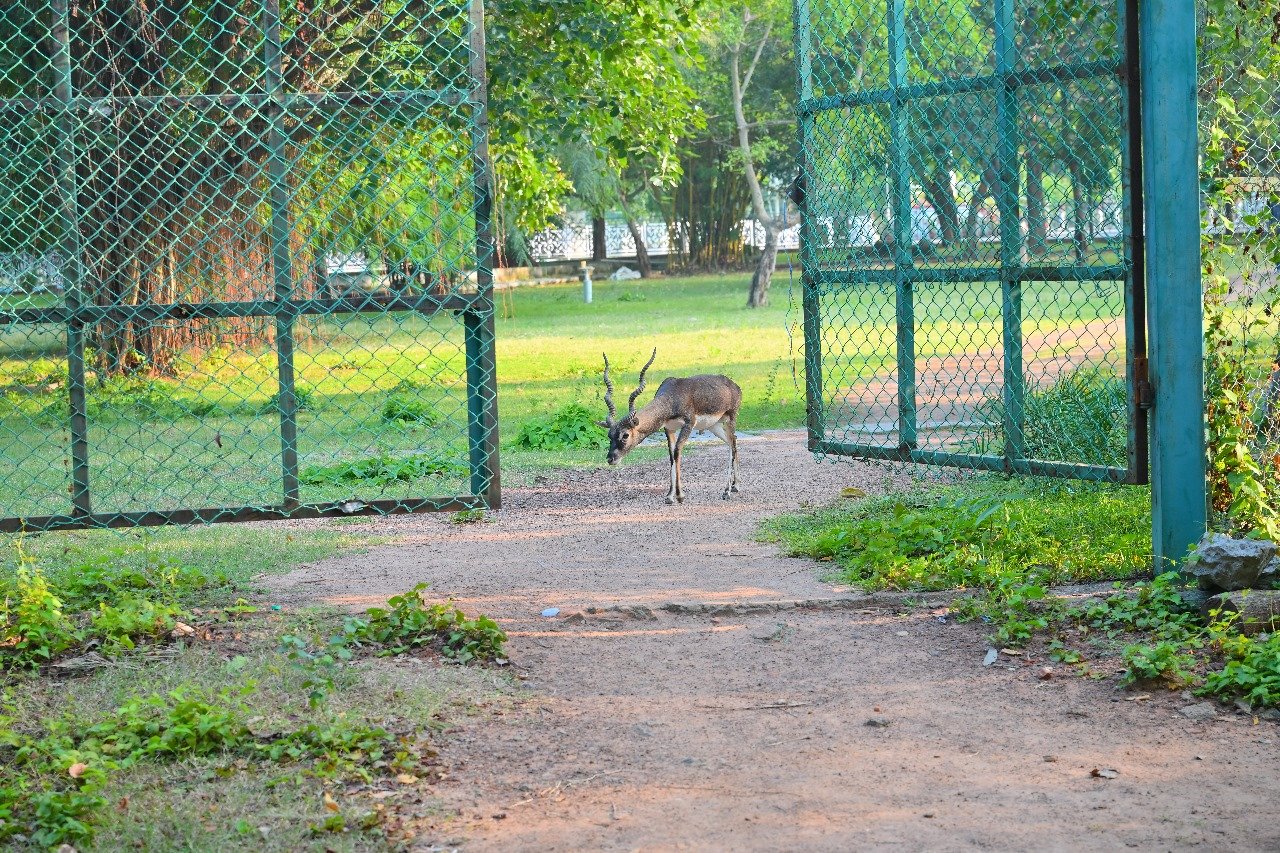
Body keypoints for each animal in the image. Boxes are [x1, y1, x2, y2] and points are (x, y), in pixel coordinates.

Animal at [596, 348, 742, 502]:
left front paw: (679, 495)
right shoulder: (669, 428)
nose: (610, 459)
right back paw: (735, 486)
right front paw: (670, 496)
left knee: (732, 445)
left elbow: (677, 452)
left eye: (625, 435)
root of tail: (735, 386)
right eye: (609, 435)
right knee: (732, 442)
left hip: (730, 419)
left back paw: (726, 491)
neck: (672, 397)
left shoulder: (688, 425)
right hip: (713, 426)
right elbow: (672, 455)